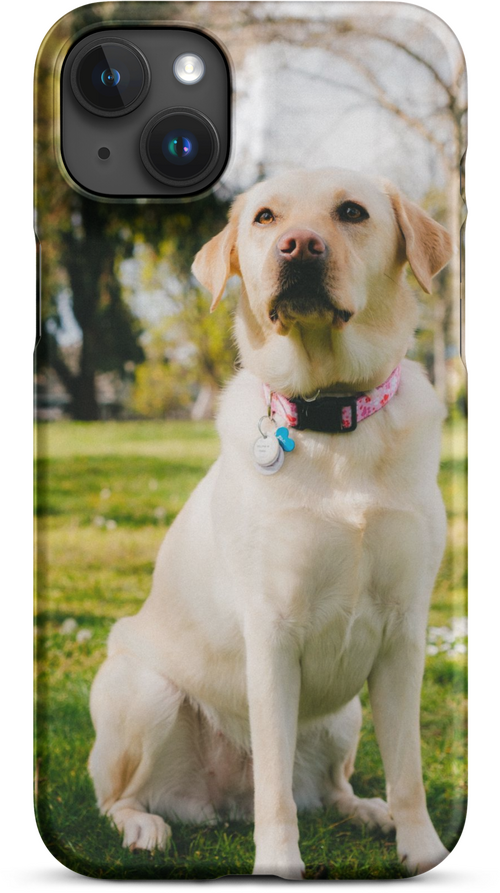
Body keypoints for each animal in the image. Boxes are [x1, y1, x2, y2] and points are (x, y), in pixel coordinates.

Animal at [89, 169, 454, 880]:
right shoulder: (274, 632)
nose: (298, 246)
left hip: (345, 716)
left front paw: (422, 849)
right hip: (144, 691)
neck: (333, 417)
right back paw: (143, 825)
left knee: (331, 787)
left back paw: (366, 809)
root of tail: (219, 802)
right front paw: (279, 862)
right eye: (264, 218)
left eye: (352, 212)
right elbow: (276, 793)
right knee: (120, 797)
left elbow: (409, 774)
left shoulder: (404, 634)